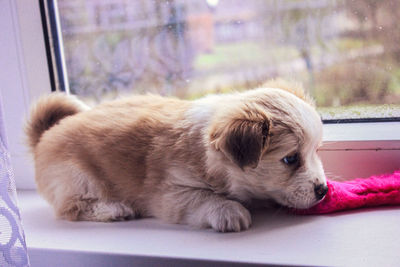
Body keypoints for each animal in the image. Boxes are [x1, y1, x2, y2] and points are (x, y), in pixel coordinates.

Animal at [25, 81, 326, 232]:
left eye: (316, 150)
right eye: (290, 159)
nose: (323, 190)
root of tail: (45, 135)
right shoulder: (171, 193)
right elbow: (204, 198)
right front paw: (228, 210)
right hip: (76, 177)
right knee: (71, 208)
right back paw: (114, 210)